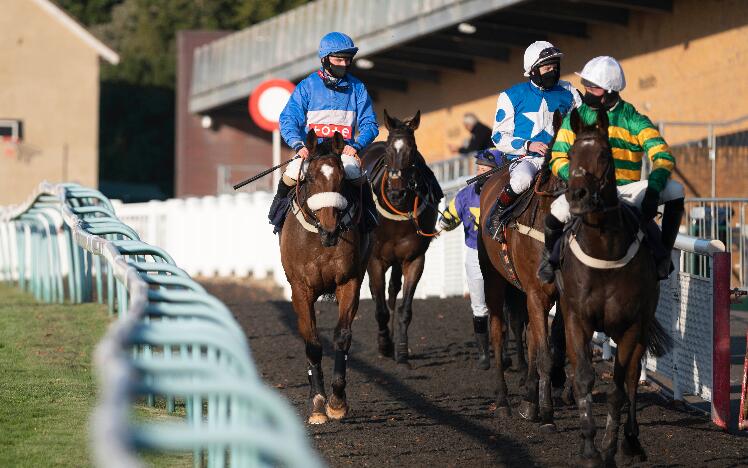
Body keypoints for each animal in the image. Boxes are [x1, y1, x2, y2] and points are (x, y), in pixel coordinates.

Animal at [280, 128, 372, 424]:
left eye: (342, 179)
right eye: (310, 178)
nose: (331, 230)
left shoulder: (349, 282)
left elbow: (342, 337)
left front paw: (337, 402)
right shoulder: (300, 289)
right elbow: (312, 343)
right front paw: (318, 403)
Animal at [358, 109, 442, 366]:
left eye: (412, 149)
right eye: (387, 150)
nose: (396, 192)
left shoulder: (413, 258)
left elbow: (405, 307)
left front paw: (402, 351)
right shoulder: (375, 259)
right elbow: (379, 308)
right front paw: (384, 345)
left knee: (393, 290)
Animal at [556, 108, 672, 466]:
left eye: (605, 155)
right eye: (570, 154)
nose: (577, 195)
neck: (604, 251)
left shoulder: (631, 324)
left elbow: (619, 387)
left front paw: (609, 447)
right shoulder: (577, 318)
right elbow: (583, 377)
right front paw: (589, 448)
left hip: (641, 325)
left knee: (633, 377)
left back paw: (631, 442)